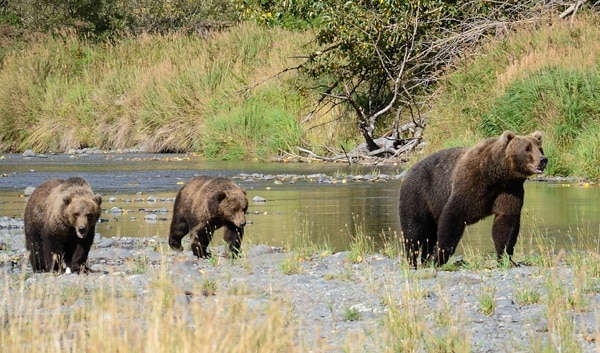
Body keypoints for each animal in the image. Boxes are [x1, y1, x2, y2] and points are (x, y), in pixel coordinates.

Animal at [398, 130, 548, 266]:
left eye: (539, 148)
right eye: (527, 148)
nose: (543, 160)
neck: (497, 174)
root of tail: (410, 168)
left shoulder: (509, 189)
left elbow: (506, 222)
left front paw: (506, 259)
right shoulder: (470, 182)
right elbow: (453, 217)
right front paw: (439, 257)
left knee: (429, 234)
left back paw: (425, 260)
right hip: (418, 194)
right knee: (414, 229)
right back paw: (412, 260)